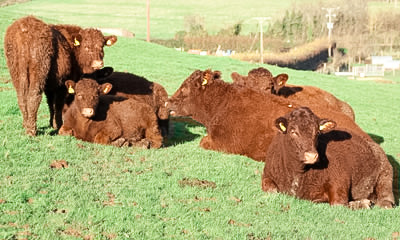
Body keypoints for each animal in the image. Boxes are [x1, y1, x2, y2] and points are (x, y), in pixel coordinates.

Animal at [260, 108, 396, 209]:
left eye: (317, 133)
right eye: (293, 131)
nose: (311, 155)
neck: (296, 175)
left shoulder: (339, 180)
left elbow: (338, 204)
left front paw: (359, 204)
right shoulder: (267, 175)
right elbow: (272, 190)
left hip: (385, 173)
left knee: (386, 197)